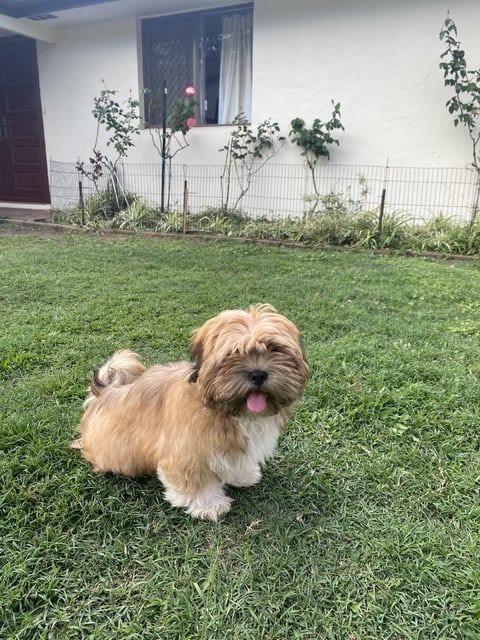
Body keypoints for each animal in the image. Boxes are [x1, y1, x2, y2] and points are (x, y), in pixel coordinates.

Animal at [72, 304, 310, 520]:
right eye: (233, 353)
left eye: (273, 348)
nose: (258, 374)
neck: (227, 410)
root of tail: (105, 393)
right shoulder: (186, 451)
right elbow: (196, 481)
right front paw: (209, 505)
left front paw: (242, 475)